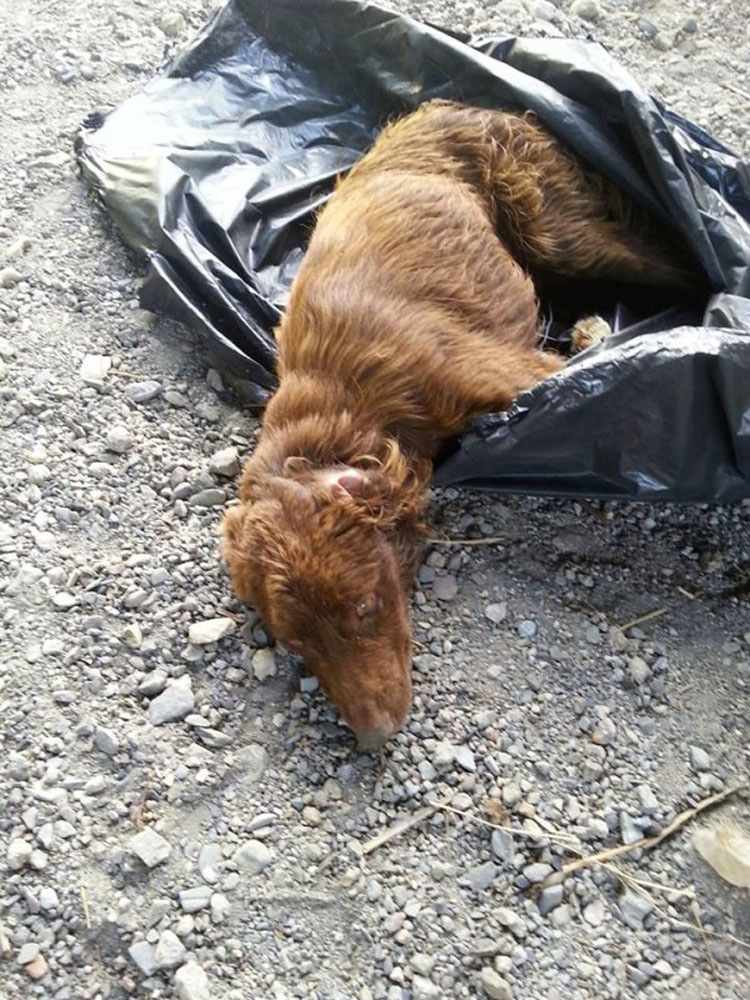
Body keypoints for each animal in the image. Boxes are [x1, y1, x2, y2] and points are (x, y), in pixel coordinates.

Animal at [222, 99, 700, 752]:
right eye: (297, 642)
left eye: (364, 608)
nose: (374, 738)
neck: (346, 405)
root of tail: (456, 106)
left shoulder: (512, 370)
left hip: (565, 231)